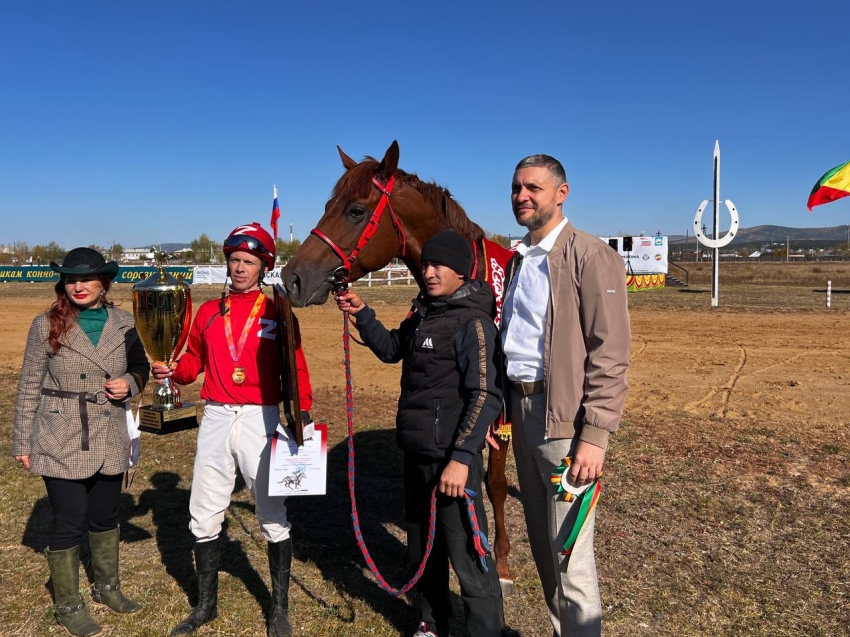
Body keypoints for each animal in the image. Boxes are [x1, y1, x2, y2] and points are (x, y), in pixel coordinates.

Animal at [284, 142, 516, 588]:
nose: (292, 279)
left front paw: (501, 562)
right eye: (327, 206)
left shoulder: (502, 409)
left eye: (355, 210)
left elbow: (494, 482)